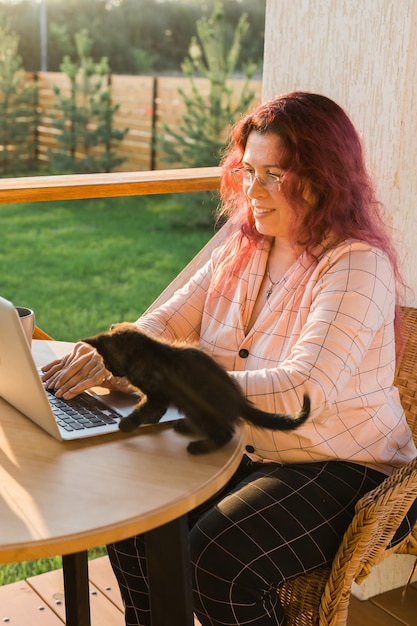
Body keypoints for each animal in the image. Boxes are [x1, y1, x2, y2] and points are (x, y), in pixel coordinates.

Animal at [82, 322, 308, 454]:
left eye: (108, 363)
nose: (112, 373)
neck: (145, 352)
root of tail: (239, 401)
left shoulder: (159, 394)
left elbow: (144, 409)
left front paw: (127, 424)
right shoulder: (160, 397)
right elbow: (150, 408)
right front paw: (150, 419)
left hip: (198, 407)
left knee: (225, 434)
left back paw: (199, 446)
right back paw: (185, 426)